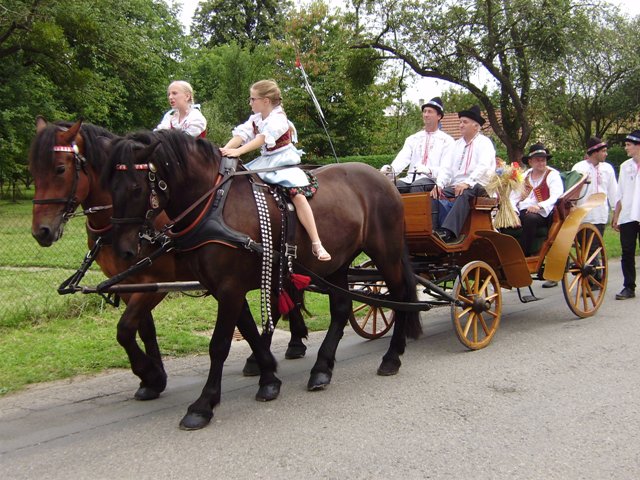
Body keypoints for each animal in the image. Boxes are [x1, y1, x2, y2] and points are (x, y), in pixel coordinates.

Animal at [29, 119, 298, 402]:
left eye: (60, 169)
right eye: (33, 170)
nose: (41, 231)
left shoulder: (156, 283)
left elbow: (125, 328)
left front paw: (150, 373)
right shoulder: (129, 284)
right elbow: (143, 329)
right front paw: (152, 379)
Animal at [102, 129, 422, 430]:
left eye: (135, 187)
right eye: (110, 187)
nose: (123, 250)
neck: (216, 204)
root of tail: (384, 179)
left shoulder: (230, 288)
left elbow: (220, 344)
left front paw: (203, 404)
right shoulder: (223, 288)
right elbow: (251, 333)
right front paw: (268, 378)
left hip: (386, 254)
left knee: (400, 296)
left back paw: (392, 357)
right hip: (338, 263)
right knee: (342, 308)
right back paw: (322, 368)